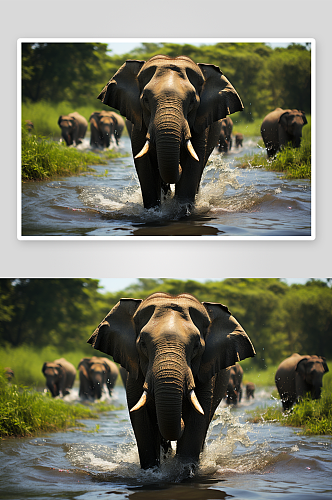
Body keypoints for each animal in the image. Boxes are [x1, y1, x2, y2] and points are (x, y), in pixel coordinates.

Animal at [87, 292, 255, 470]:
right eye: (143, 344)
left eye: (197, 346)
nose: (180, 420)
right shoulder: (134, 374)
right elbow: (142, 420)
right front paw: (152, 471)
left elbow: (196, 421)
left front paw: (184, 471)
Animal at [97, 54, 243, 211]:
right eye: (145, 99)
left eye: (192, 101)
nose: (178, 165)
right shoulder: (138, 125)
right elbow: (145, 165)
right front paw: (153, 211)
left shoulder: (201, 124)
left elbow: (192, 165)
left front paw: (183, 210)